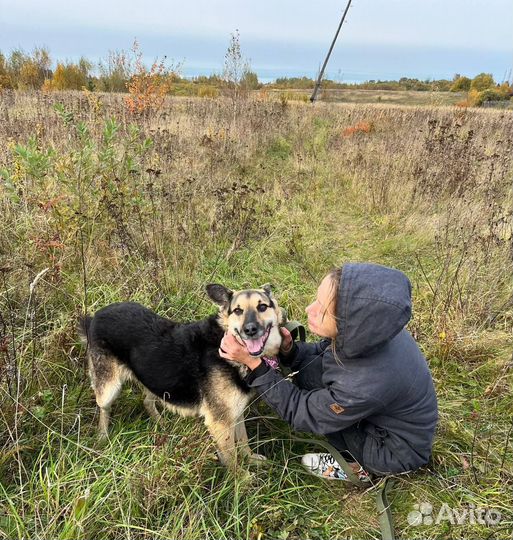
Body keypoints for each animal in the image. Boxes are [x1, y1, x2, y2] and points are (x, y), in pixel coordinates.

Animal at [78, 284, 282, 466]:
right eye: (238, 311)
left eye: (262, 307)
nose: (250, 330)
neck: (224, 344)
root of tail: (95, 316)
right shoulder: (220, 422)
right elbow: (232, 459)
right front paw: (242, 480)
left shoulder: (235, 413)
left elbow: (243, 441)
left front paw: (251, 459)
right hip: (108, 389)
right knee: (104, 409)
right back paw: (102, 438)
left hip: (155, 378)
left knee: (147, 401)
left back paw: (161, 424)